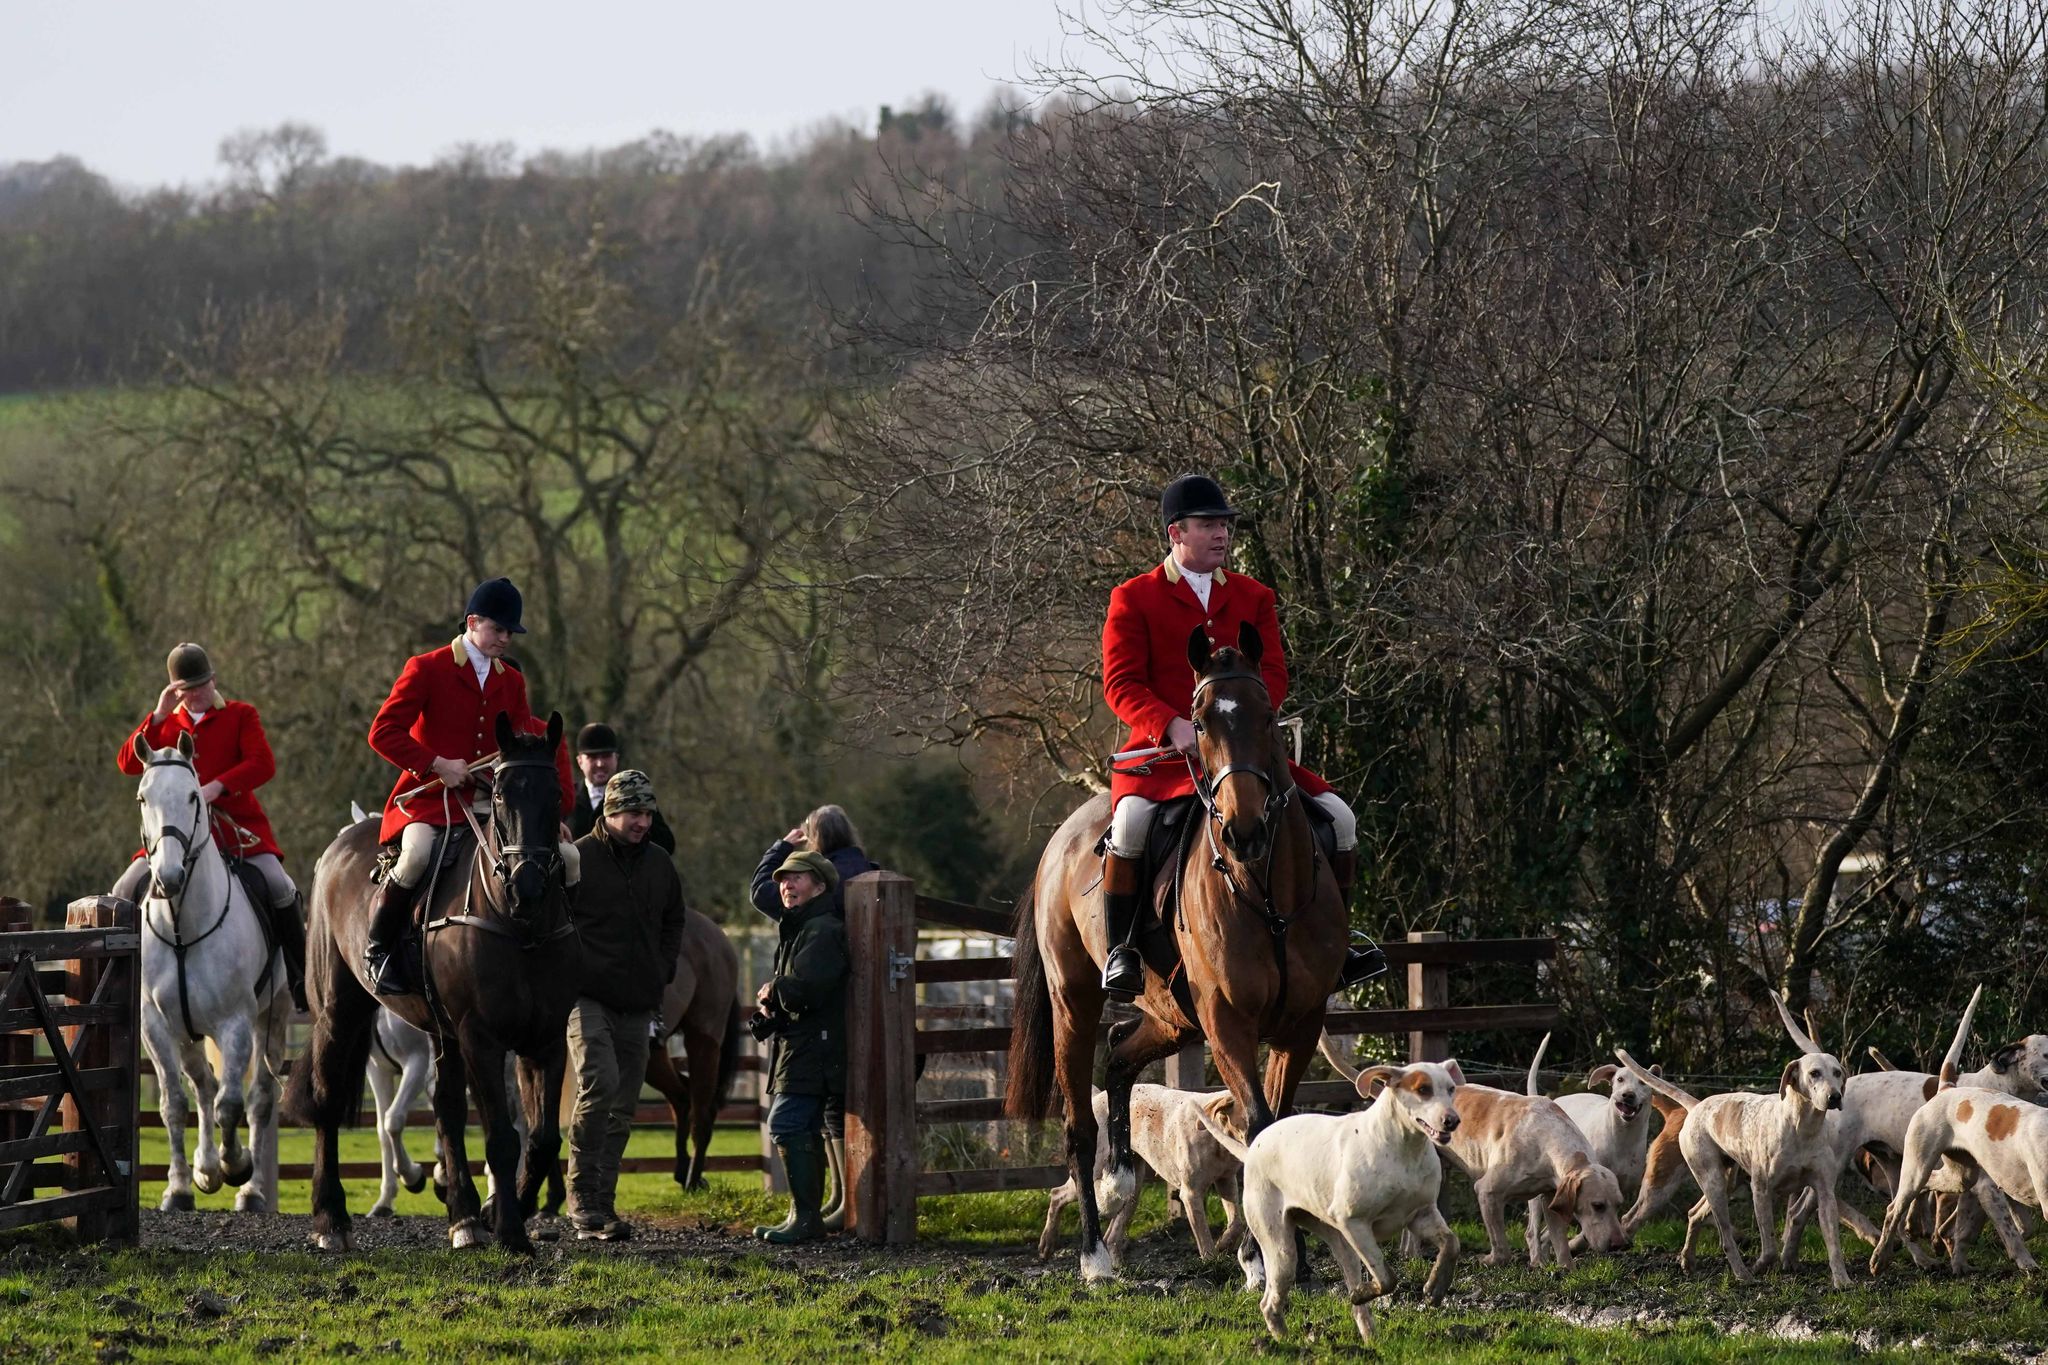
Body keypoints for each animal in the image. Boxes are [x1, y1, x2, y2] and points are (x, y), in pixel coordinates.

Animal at [130, 736, 290, 1219]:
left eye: (193, 797)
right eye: (143, 798)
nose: (168, 876)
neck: (183, 925)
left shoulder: (235, 1023)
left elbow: (231, 1104)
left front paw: (236, 1164)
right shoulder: (155, 1026)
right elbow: (174, 1104)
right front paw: (180, 1187)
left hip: (271, 1018)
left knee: (258, 1099)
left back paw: (249, 1189)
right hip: (187, 1032)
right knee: (202, 1086)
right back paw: (204, 1168)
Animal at [288, 712, 581, 1252]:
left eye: (555, 794)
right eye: (501, 794)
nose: (528, 884)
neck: (519, 924)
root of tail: (343, 843)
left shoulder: (544, 1039)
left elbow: (542, 1138)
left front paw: (498, 1211)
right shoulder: (481, 1038)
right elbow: (502, 1138)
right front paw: (510, 1230)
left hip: (441, 1033)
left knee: (446, 1111)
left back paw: (463, 1218)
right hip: (339, 1013)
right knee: (327, 1101)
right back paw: (331, 1219)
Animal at [1003, 626, 1343, 1285]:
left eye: (1267, 716)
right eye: (1201, 722)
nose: (1243, 830)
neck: (1267, 892)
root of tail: (1060, 840)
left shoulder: (1301, 1021)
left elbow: (1282, 1122)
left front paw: (1291, 1256)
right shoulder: (1228, 1023)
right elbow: (1258, 1125)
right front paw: (1258, 1258)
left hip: (1172, 1017)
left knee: (1118, 1058)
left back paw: (1122, 1178)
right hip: (1076, 1004)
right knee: (1079, 1124)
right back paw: (1094, 1254)